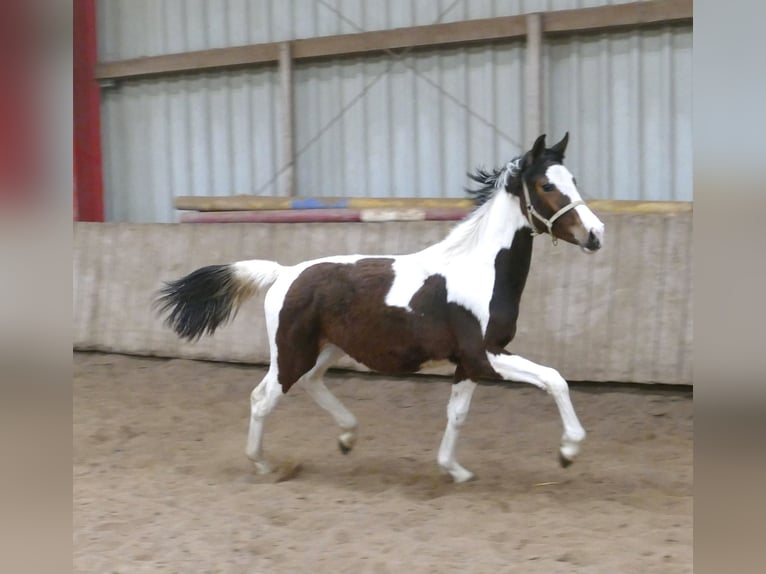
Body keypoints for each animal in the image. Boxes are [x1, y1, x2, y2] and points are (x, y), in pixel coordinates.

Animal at [155, 133, 604, 483]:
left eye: (573, 179)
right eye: (546, 185)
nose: (596, 234)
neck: (478, 269)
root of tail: (284, 273)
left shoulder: (469, 363)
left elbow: (457, 413)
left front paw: (454, 469)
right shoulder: (486, 354)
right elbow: (554, 379)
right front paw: (568, 451)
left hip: (327, 348)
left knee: (311, 383)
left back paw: (347, 437)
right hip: (291, 353)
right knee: (263, 398)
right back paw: (265, 465)